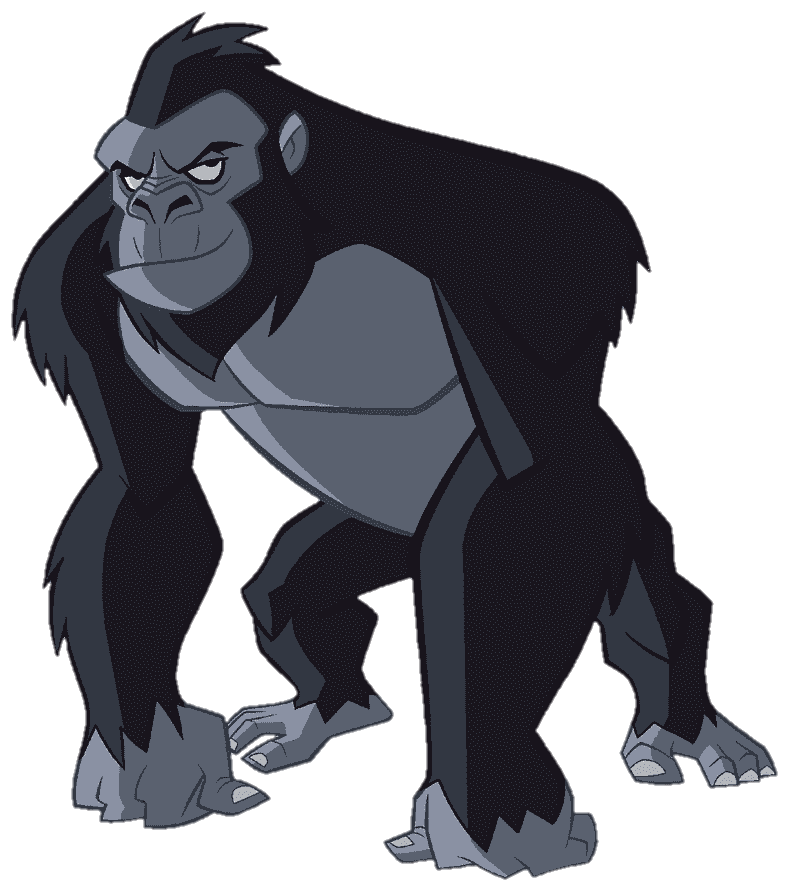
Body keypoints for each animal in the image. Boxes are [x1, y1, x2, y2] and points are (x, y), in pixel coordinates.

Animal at [12, 14, 776, 875]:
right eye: (128, 176)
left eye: (209, 164)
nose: (158, 205)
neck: (286, 259)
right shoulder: (82, 284)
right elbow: (147, 492)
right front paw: (157, 766)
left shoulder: (523, 263)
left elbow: (528, 492)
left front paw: (493, 820)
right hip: (379, 536)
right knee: (287, 591)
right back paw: (328, 708)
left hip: (614, 497)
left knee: (634, 581)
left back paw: (681, 722)